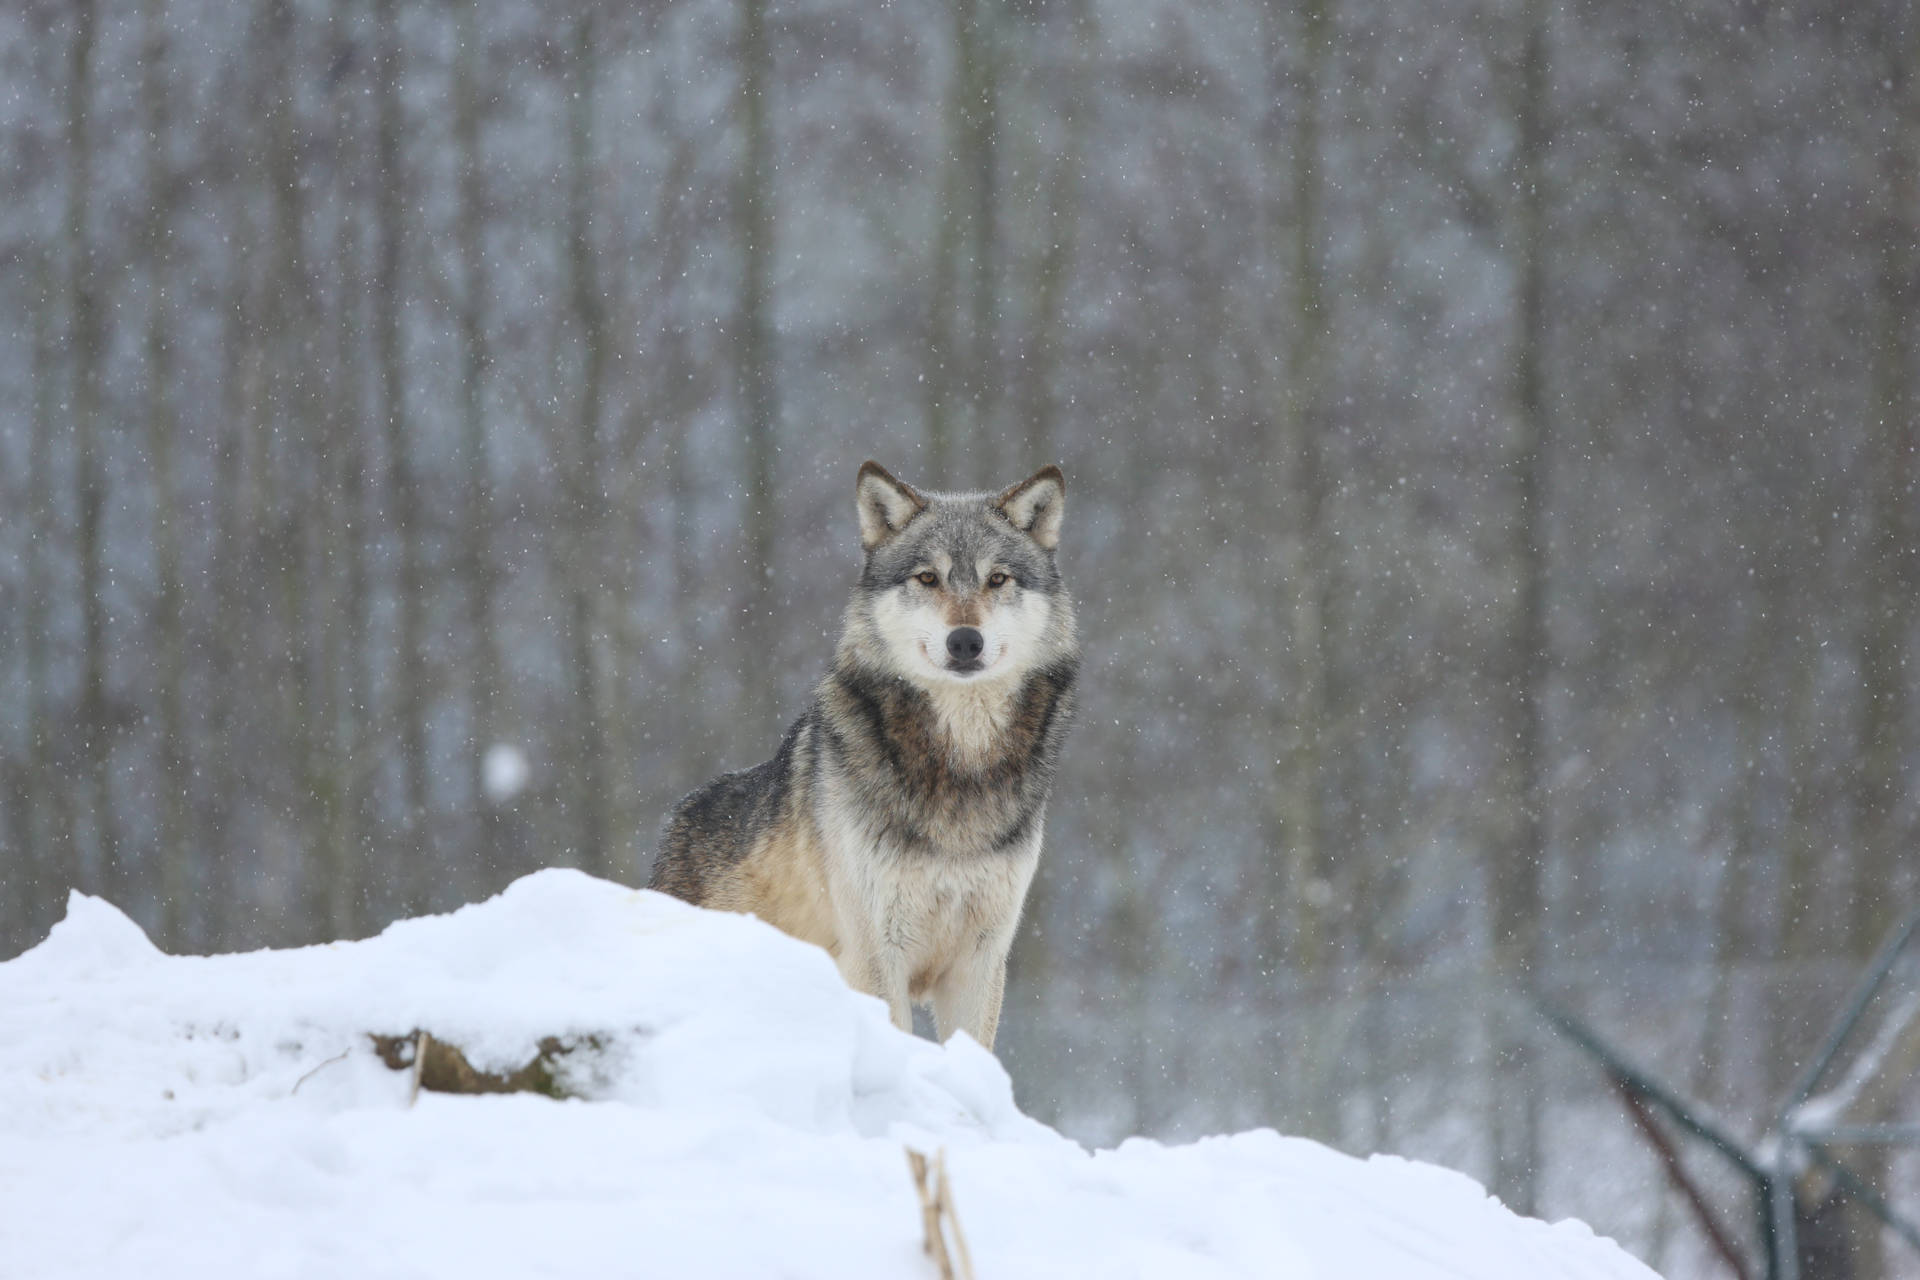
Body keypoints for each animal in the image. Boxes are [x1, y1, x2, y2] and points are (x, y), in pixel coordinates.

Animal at [648, 460, 1082, 1051]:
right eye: (928, 578)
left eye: (997, 579)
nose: (965, 641)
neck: (959, 765)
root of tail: (676, 822)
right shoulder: (877, 954)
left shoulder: (980, 961)